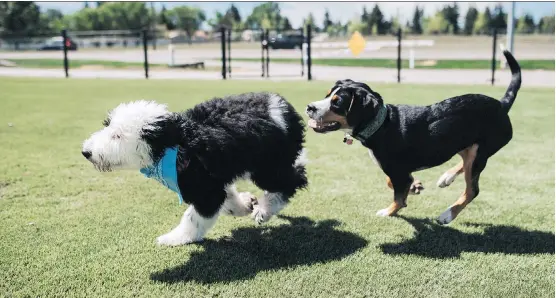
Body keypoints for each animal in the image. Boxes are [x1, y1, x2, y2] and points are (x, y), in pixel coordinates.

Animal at [82, 92, 308, 244]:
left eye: (117, 136)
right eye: (107, 126)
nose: (86, 151)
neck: (177, 143)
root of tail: (281, 107)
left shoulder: (205, 189)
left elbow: (194, 218)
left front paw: (175, 238)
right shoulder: (213, 177)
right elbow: (227, 198)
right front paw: (244, 205)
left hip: (267, 165)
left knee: (293, 180)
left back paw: (265, 210)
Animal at [306, 50, 520, 225]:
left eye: (337, 102)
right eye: (327, 95)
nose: (309, 107)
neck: (382, 124)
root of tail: (502, 105)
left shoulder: (397, 171)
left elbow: (398, 197)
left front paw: (388, 212)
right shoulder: (399, 172)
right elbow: (394, 183)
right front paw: (414, 186)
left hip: (479, 152)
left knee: (472, 190)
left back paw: (447, 215)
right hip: (468, 147)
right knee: (464, 165)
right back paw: (446, 177)